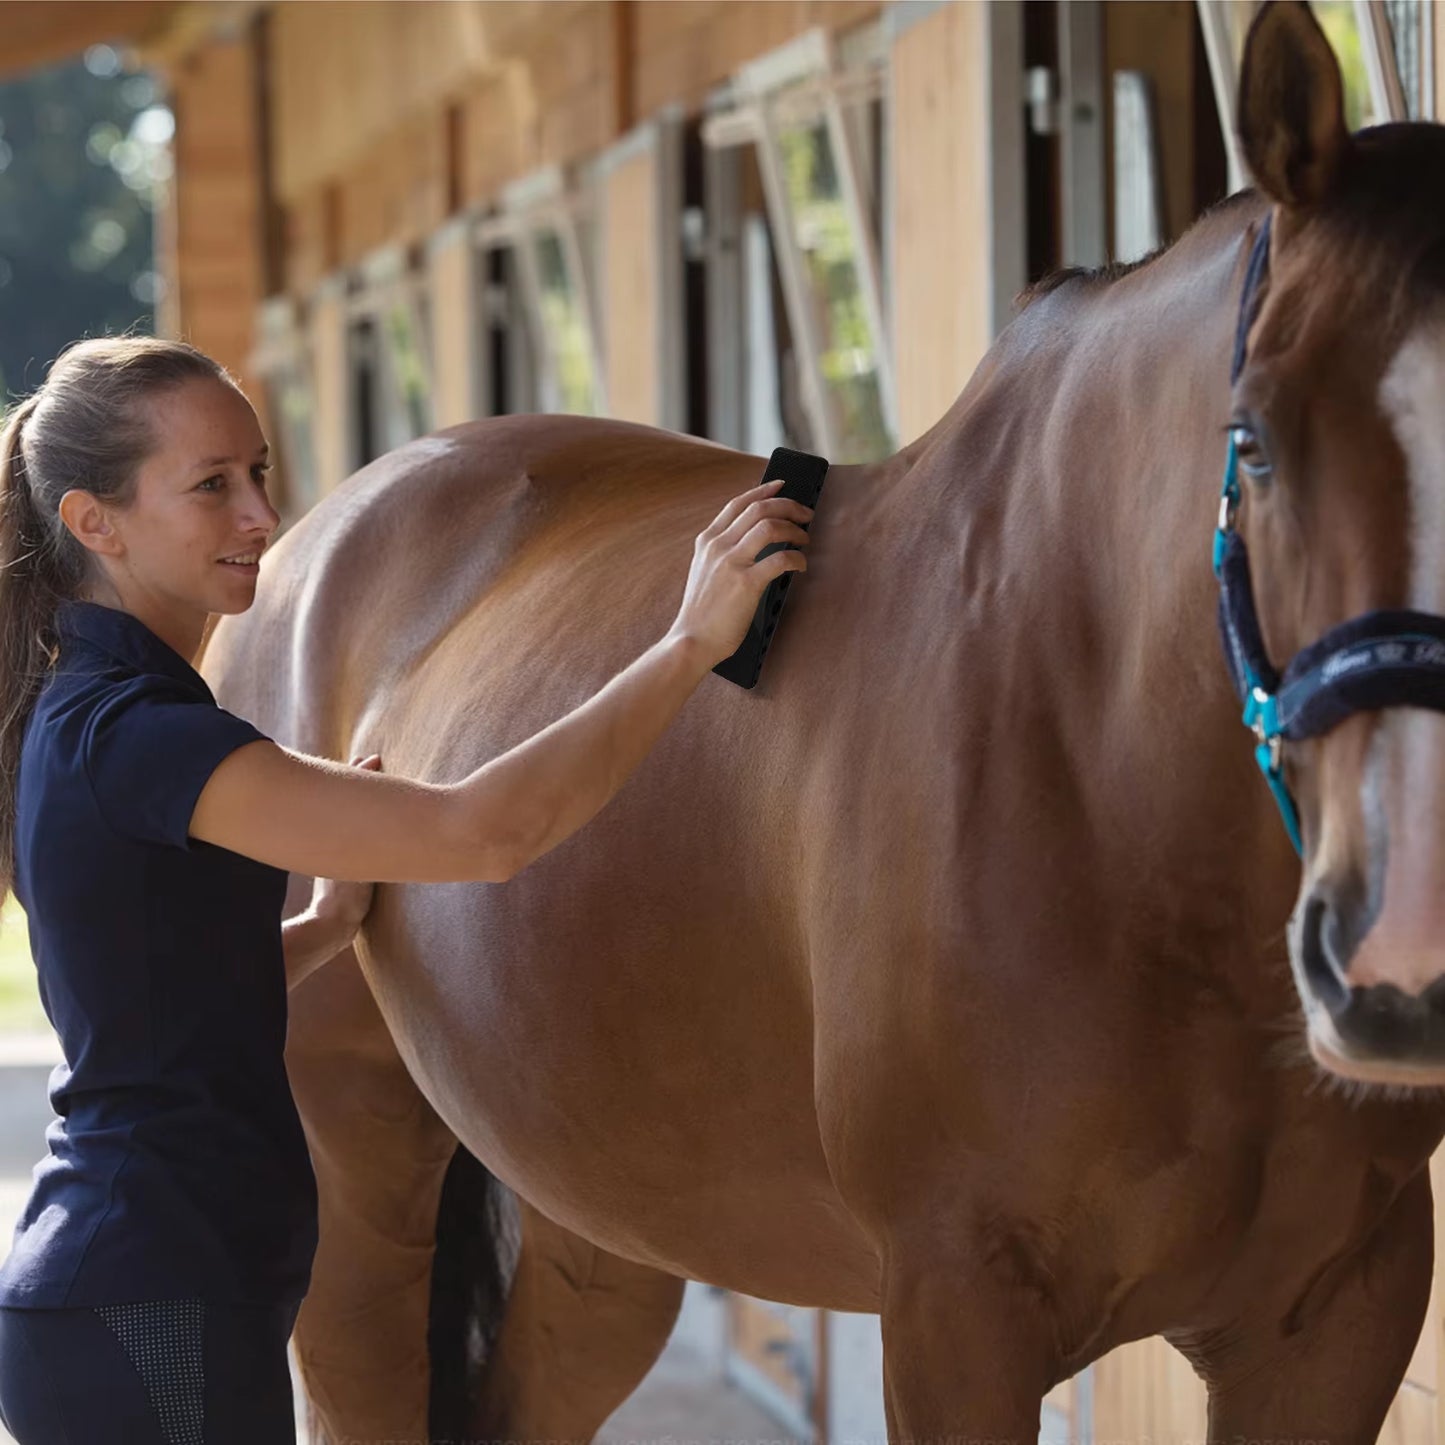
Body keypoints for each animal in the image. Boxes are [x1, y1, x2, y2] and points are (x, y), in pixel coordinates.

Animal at [202, 4, 1445, 1441]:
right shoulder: (954, 1310)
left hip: (600, 1222)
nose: (1400, 950)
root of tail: (301, 549)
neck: (1105, 775)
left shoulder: (1333, 1315)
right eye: (1252, 441)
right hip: (356, 1183)